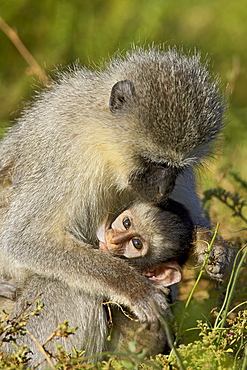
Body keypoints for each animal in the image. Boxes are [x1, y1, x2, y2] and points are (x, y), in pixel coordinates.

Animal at [0, 46, 228, 364]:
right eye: (153, 162)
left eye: (177, 168)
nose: (163, 189)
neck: (103, 140)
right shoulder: (67, 155)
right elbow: (25, 239)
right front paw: (133, 287)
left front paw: (210, 244)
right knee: (72, 288)